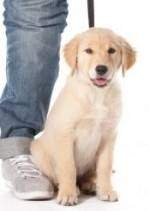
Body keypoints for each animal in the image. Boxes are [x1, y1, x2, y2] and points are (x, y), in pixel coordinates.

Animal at [30, 27, 136, 205]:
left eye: (111, 50)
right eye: (88, 51)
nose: (101, 69)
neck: (96, 94)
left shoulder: (109, 135)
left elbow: (105, 166)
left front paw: (106, 190)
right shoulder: (65, 134)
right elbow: (68, 167)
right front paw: (67, 193)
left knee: (90, 174)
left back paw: (90, 184)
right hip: (37, 150)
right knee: (57, 176)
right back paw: (69, 187)